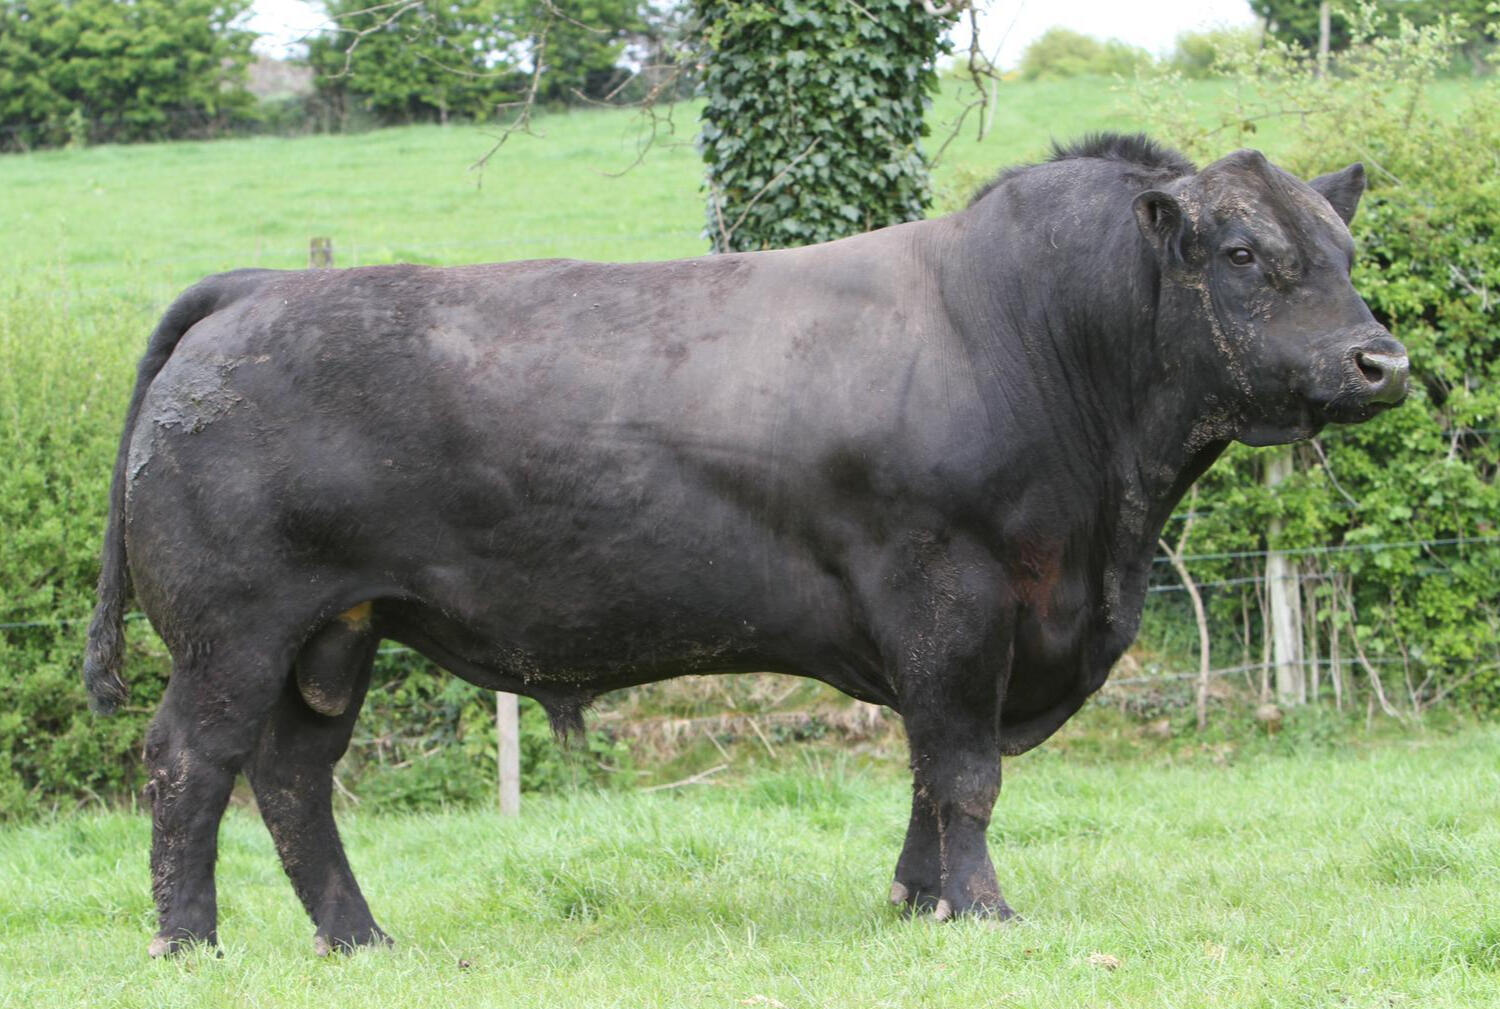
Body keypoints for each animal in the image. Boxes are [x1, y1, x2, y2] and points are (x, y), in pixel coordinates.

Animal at [83, 133, 1408, 957]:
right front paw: (983, 913)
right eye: (1243, 255)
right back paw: (190, 944)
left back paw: (359, 939)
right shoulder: (954, 599)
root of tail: (258, 289)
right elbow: (965, 772)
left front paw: (916, 902)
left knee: (293, 781)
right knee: (189, 764)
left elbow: (928, 774)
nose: (1380, 361)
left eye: (1347, 255)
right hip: (233, 632)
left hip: (334, 633)